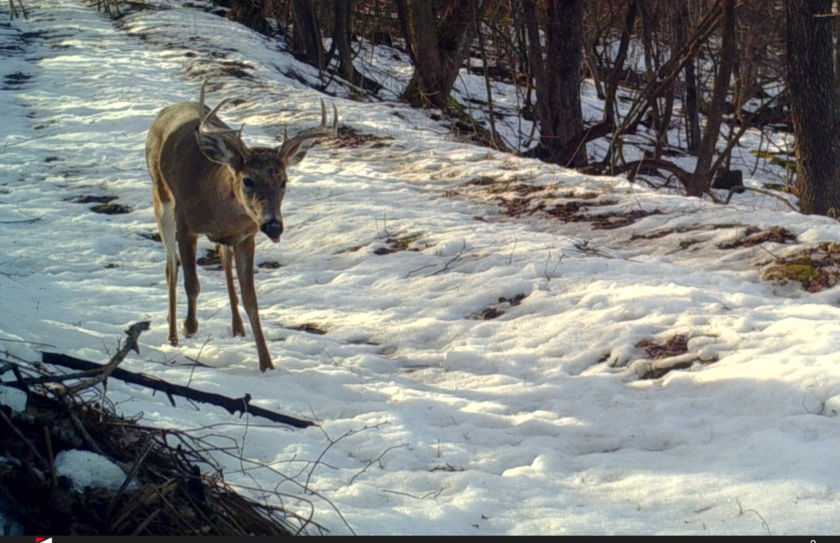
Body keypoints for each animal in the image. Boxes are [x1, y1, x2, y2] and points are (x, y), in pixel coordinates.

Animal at [145, 78, 338, 372]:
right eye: (248, 179)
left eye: (284, 181)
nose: (273, 226)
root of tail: (165, 112)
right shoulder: (186, 225)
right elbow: (192, 282)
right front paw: (190, 327)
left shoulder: (246, 236)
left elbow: (251, 300)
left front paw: (267, 363)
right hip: (161, 199)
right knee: (171, 268)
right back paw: (173, 335)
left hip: (226, 238)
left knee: (224, 263)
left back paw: (237, 328)